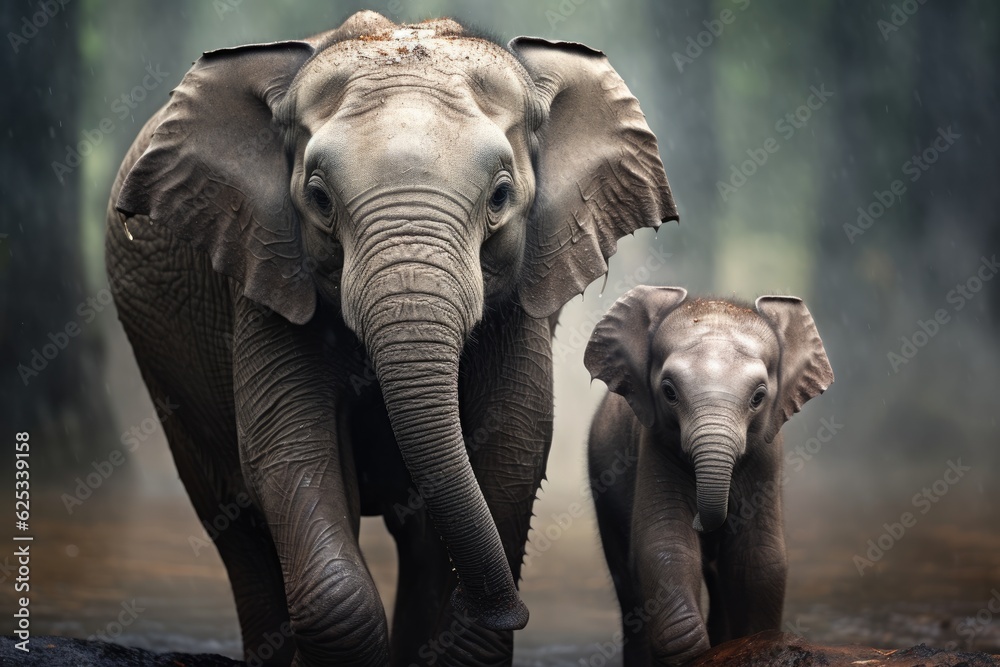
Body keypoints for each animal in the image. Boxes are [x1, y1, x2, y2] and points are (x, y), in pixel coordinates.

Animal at [105, 11, 677, 667]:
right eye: (319, 199)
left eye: (501, 196)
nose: (513, 611)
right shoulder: (266, 267)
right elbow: (288, 447)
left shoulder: (522, 295)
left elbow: (512, 444)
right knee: (236, 523)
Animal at [583, 286, 833, 665]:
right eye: (669, 392)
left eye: (759, 397)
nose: (705, 522)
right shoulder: (655, 444)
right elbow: (664, 543)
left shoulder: (765, 456)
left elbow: (759, 558)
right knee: (628, 587)